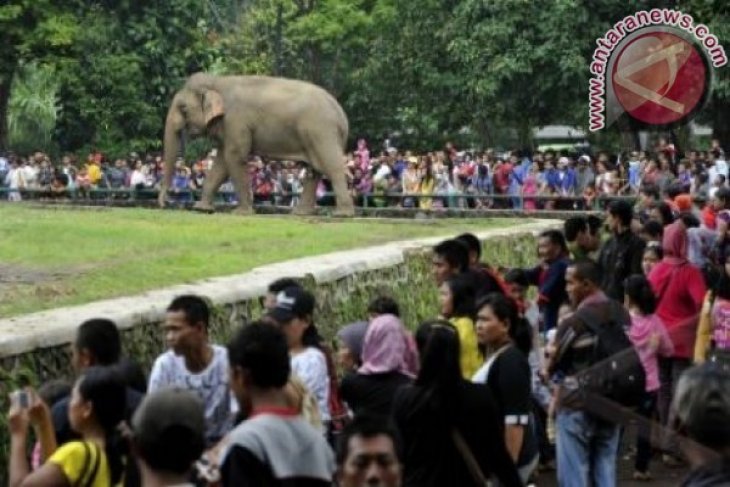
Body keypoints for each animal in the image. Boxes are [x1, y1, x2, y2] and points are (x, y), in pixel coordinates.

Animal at [158, 72, 354, 215]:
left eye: (183, 109)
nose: (164, 203)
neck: (217, 81)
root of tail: (342, 116)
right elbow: (221, 163)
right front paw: (202, 209)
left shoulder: (236, 121)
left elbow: (235, 157)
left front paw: (241, 212)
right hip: (314, 135)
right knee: (313, 171)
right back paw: (301, 213)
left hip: (322, 132)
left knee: (332, 167)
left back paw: (342, 214)